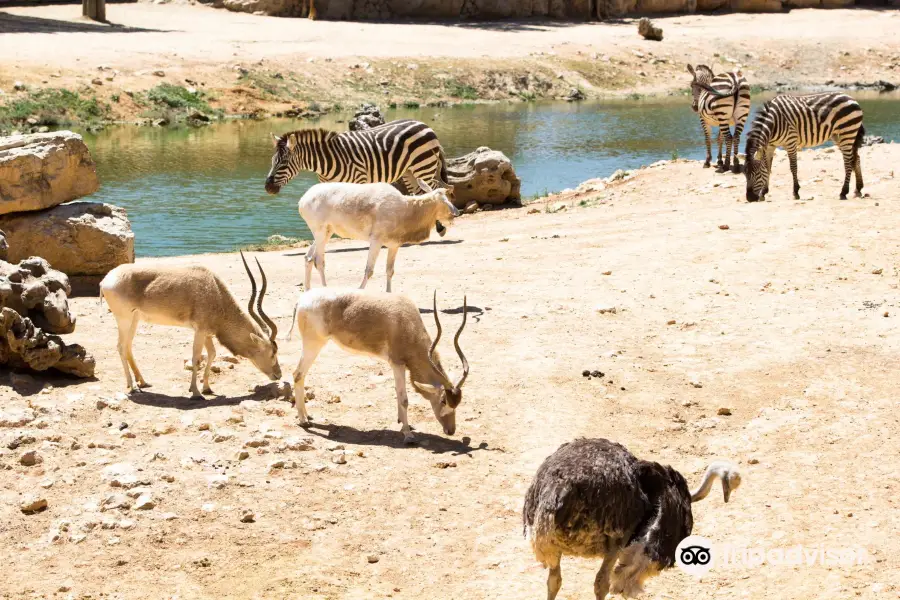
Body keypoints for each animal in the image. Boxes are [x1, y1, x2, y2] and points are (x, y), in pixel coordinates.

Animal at [99, 253, 284, 398]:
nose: (279, 374)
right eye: (272, 353)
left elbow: (212, 354)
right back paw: (132, 386)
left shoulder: (207, 332)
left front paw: (207, 388)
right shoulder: (200, 331)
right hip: (124, 319)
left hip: (134, 319)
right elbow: (196, 358)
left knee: (128, 346)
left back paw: (142, 382)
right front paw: (195, 392)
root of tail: (106, 280)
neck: (215, 290)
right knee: (121, 346)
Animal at [266, 119, 450, 234]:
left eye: (283, 163)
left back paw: (440, 227)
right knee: (419, 194)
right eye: (272, 161)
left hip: (423, 166)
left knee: (435, 190)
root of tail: (423, 124)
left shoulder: (359, 179)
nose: (267, 187)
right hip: (409, 172)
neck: (329, 160)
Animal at [288, 286, 472, 440]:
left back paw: (306, 416)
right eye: (443, 401)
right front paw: (408, 435)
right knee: (298, 374)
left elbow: (397, 392)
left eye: (458, 402)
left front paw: (402, 423)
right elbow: (404, 399)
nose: (451, 431)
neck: (406, 321)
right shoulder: (397, 363)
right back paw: (304, 420)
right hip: (314, 343)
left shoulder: (395, 365)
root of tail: (302, 299)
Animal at [298, 180, 460, 292]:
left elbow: (390, 271)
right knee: (319, 261)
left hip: (327, 232)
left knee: (308, 257)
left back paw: (308, 291)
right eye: (441, 200)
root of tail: (303, 200)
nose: (456, 213)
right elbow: (369, 270)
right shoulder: (376, 240)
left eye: (449, 197)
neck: (405, 209)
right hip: (320, 231)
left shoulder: (394, 245)